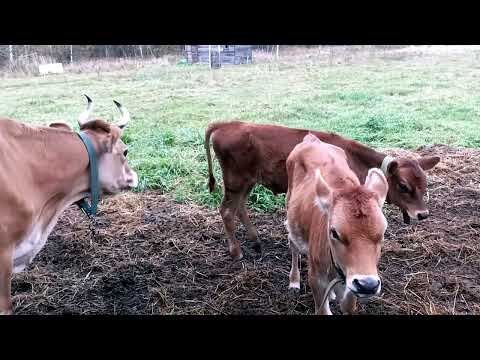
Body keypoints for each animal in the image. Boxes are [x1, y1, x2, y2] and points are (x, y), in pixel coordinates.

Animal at [204, 120, 440, 258]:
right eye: (403, 186)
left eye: (425, 185)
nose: (423, 214)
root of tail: (227, 124)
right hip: (236, 181)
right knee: (227, 211)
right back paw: (236, 252)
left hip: (247, 182)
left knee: (239, 208)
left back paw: (255, 242)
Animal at [286, 134, 388, 314]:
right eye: (334, 232)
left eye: (383, 233)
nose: (367, 285)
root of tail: (313, 139)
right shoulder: (316, 279)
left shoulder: (351, 288)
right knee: (293, 246)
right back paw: (294, 281)